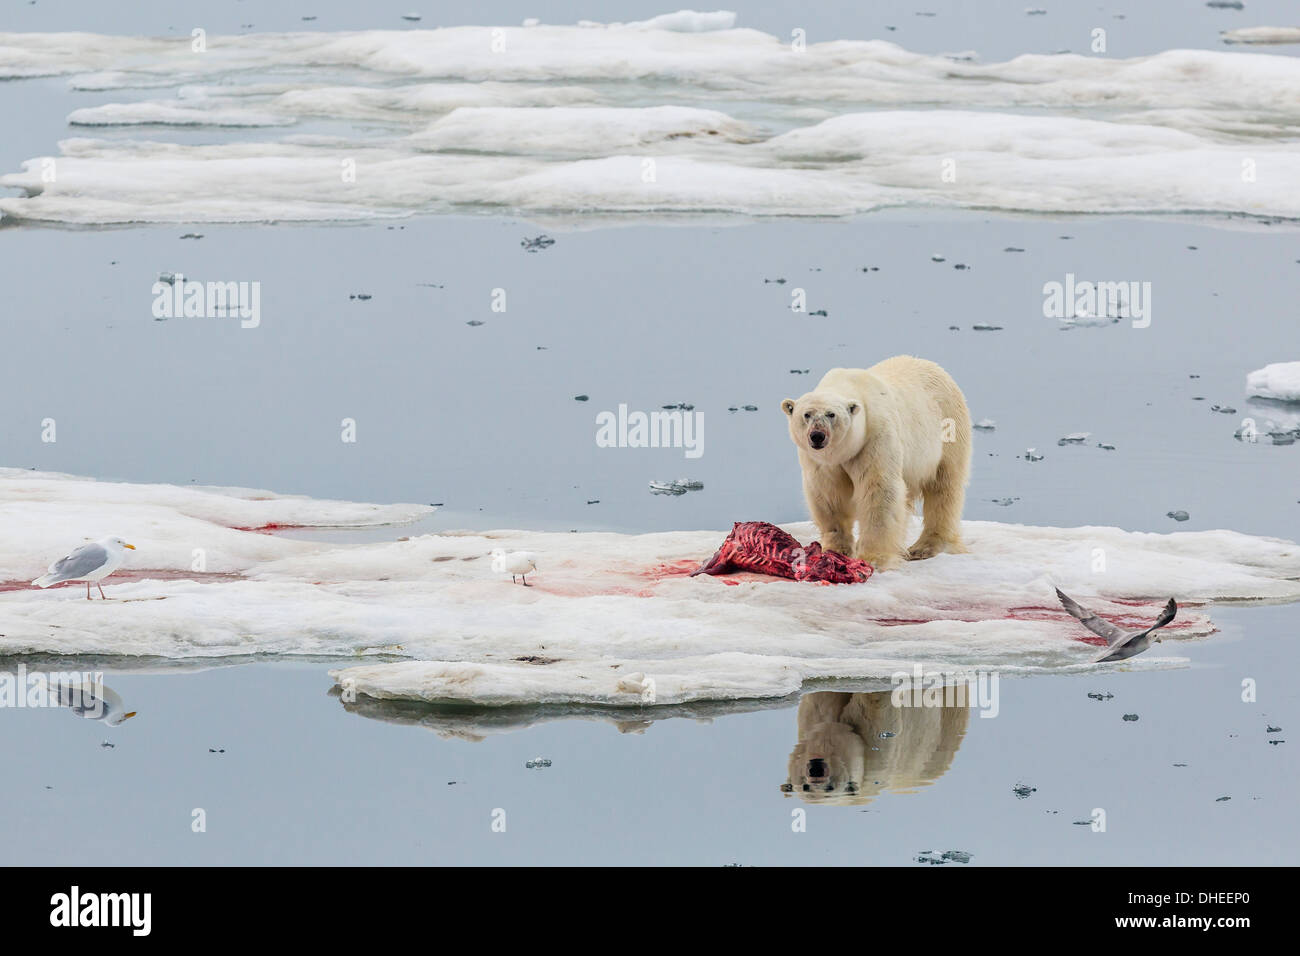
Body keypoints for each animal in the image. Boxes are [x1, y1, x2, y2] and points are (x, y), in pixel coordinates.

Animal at [774, 356, 972, 567]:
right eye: (807, 414)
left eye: (831, 414)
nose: (817, 436)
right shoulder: (823, 462)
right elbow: (829, 494)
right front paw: (836, 549)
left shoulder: (874, 437)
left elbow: (879, 490)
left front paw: (874, 558)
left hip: (948, 428)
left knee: (944, 487)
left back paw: (925, 547)